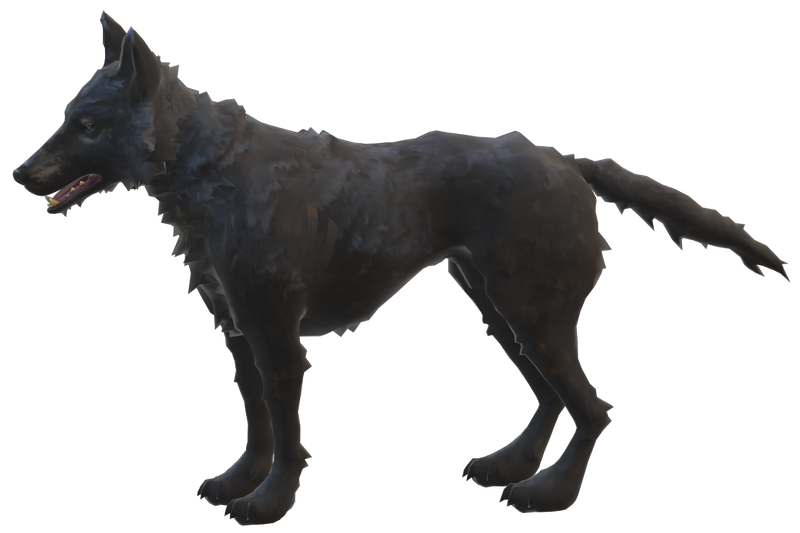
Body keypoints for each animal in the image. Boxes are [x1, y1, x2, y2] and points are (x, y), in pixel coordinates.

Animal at [10, 7, 791, 527]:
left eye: (89, 126)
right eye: (66, 115)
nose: (18, 172)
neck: (209, 168)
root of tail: (567, 161)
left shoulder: (277, 337)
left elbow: (287, 432)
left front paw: (271, 501)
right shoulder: (237, 333)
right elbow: (256, 422)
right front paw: (239, 483)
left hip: (531, 312)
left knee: (592, 406)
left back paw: (548, 493)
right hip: (501, 311)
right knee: (552, 398)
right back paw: (509, 466)